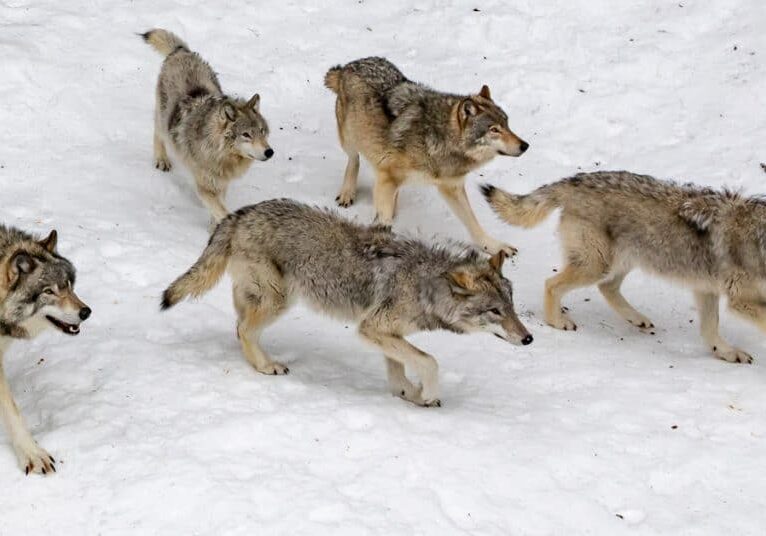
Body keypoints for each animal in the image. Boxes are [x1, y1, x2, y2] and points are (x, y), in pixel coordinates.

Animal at [141, 28, 273, 224]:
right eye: (246, 135)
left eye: (262, 131)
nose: (269, 152)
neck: (218, 153)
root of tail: (182, 52)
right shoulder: (205, 188)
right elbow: (222, 211)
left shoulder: (222, 184)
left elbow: (218, 209)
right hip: (163, 118)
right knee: (158, 133)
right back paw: (162, 160)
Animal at [161, 199, 532, 406]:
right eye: (495, 311)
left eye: (512, 307)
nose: (528, 338)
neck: (424, 283)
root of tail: (240, 213)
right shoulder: (371, 328)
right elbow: (430, 361)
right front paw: (426, 393)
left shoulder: (386, 333)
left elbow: (399, 369)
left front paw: (409, 395)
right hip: (279, 300)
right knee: (243, 329)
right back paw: (267, 366)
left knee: (238, 326)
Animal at [325, 57, 528, 256]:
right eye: (494, 130)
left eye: (507, 124)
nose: (525, 146)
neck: (437, 139)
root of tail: (349, 65)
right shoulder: (387, 177)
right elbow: (384, 218)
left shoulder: (452, 187)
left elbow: (473, 223)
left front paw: (495, 247)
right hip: (350, 139)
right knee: (354, 160)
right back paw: (347, 193)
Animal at [482, 170, 766, 364]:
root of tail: (576, 179)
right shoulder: (739, 300)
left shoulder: (706, 288)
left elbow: (709, 330)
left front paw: (727, 353)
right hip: (597, 264)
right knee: (552, 284)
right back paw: (558, 322)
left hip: (620, 262)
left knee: (607, 287)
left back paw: (636, 318)